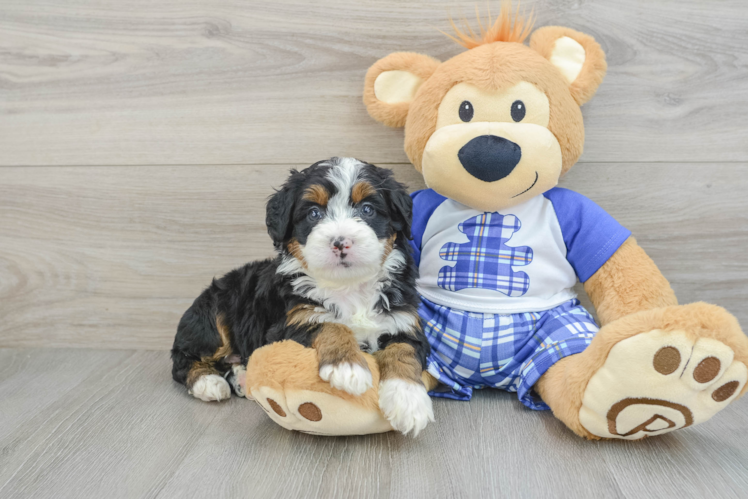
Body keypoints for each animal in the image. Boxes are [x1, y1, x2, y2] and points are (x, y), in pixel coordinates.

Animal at [170, 156, 436, 434]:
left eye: (367, 210)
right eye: (314, 213)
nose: (341, 242)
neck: (348, 286)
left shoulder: (403, 320)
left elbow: (404, 351)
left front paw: (409, 401)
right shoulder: (291, 321)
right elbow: (329, 324)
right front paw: (348, 367)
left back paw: (241, 376)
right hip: (214, 312)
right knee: (183, 359)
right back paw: (208, 383)